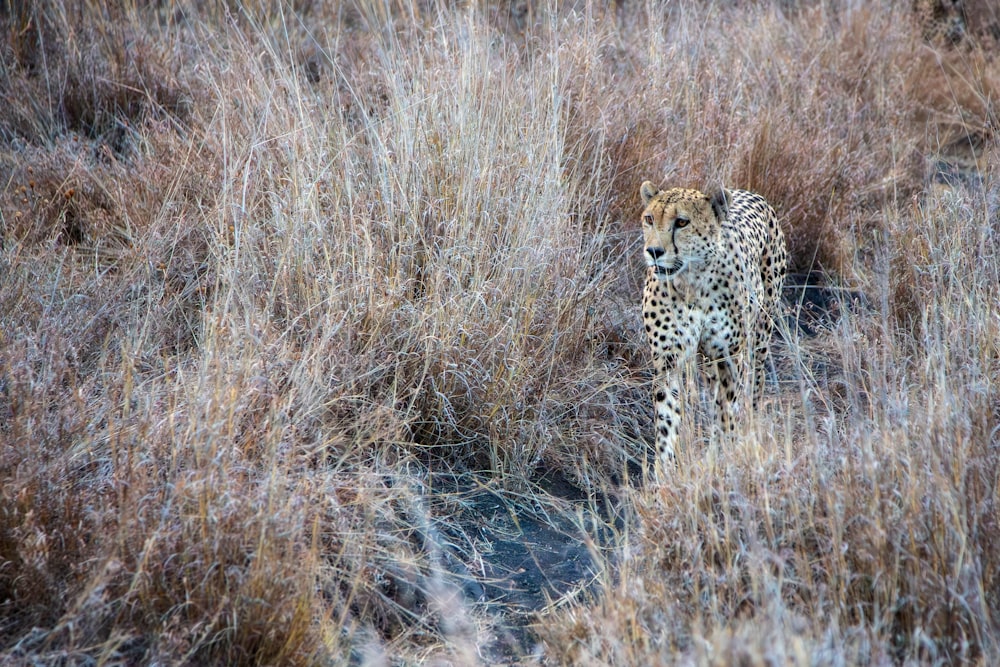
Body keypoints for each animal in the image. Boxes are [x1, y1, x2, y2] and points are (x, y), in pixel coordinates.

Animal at [640, 180, 788, 478]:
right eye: (649, 219)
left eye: (681, 222)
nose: (654, 252)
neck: (690, 282)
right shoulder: (668, 359)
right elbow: (667, 415)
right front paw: (664, 473)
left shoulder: (730, 357)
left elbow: (727, 412)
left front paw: (723, 457)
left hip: (760, 334)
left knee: (754, 385)